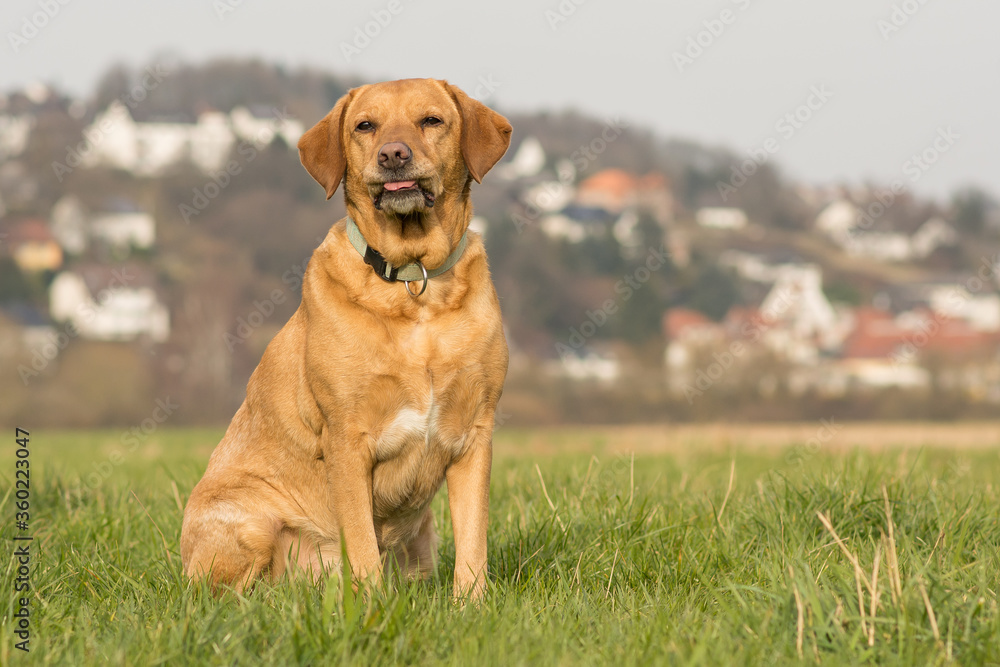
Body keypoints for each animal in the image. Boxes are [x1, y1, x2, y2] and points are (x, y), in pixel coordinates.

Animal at [180, 78, 512, 600]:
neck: (413, 285)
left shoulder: (474, 436)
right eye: (365, 125)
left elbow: (473, 543)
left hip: (422, 537)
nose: (393, 155)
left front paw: (472, 605)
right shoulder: (347, 440)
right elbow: (360, 542)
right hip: (251, 525)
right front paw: (374, 604)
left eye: (431, 120)